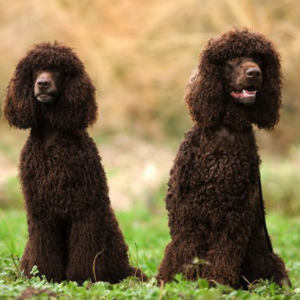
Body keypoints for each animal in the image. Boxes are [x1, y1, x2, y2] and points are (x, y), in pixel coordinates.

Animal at [2, 41, 146, 284]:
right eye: (34, 70)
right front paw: (46, 276)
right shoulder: (41, 212)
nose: (42, 83)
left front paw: (82, 278)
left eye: (59, 70)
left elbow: (85, 250)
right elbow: (44, 249)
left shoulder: (85, 208)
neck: (52, 143)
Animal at [157, 29, 290, 290]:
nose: (254, 73)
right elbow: (182, 254)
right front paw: (177, 285)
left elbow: (223, 258)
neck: (226, 133)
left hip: (265, 256)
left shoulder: (233, 220)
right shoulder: (187, 218)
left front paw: (216, 285)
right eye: (231, 59)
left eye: (258, 59)